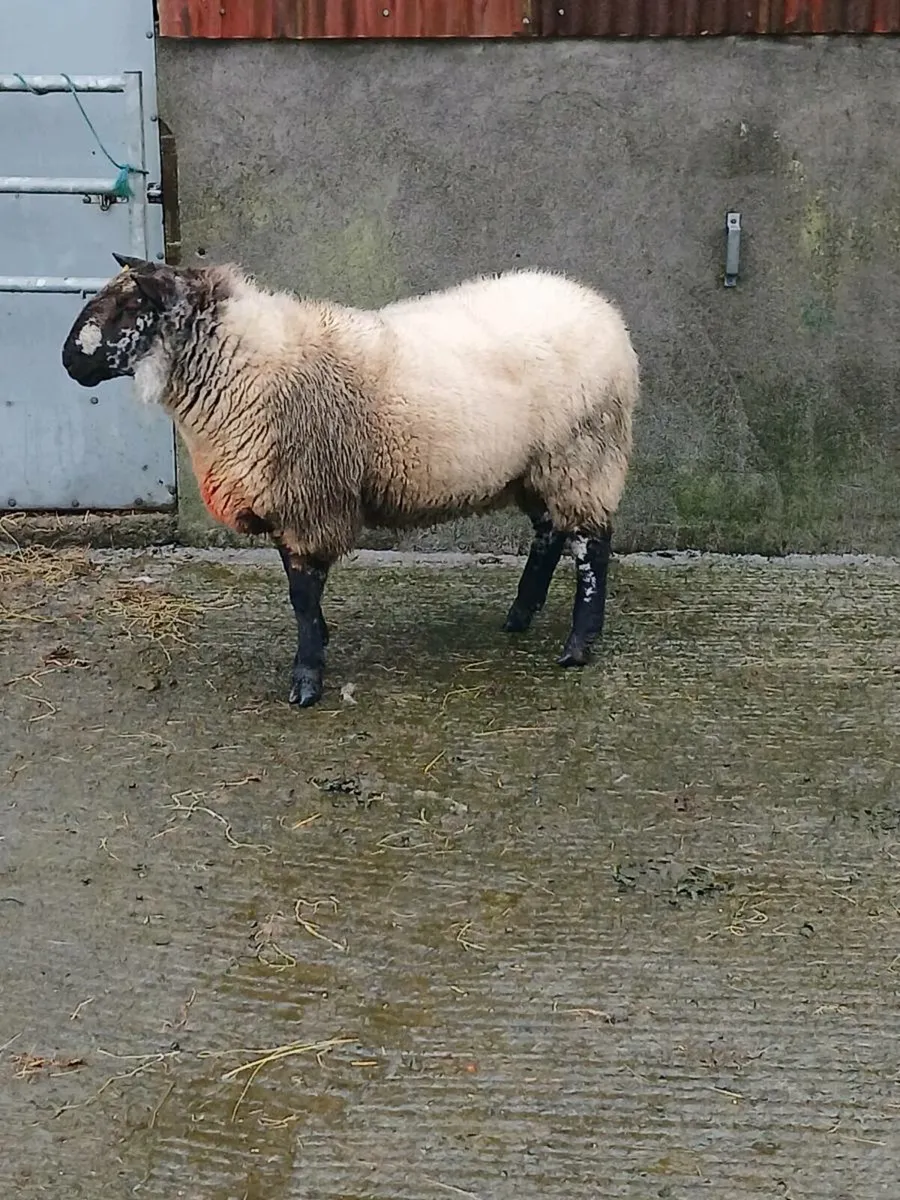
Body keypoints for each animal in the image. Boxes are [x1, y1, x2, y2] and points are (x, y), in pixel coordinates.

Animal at [61, 253, 639, 708]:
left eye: (130, 307)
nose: (67, 361)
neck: (242, 367)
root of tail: (602, 311)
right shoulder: (288, 499)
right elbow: (298, 588)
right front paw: (319, 637)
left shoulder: (309, 499)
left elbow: (300, 592)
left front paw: (307, 679)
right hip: (536, 466)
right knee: (549, 534)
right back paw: (520, 615)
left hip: (583, 454)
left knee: (591, 544)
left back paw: (577, 645)